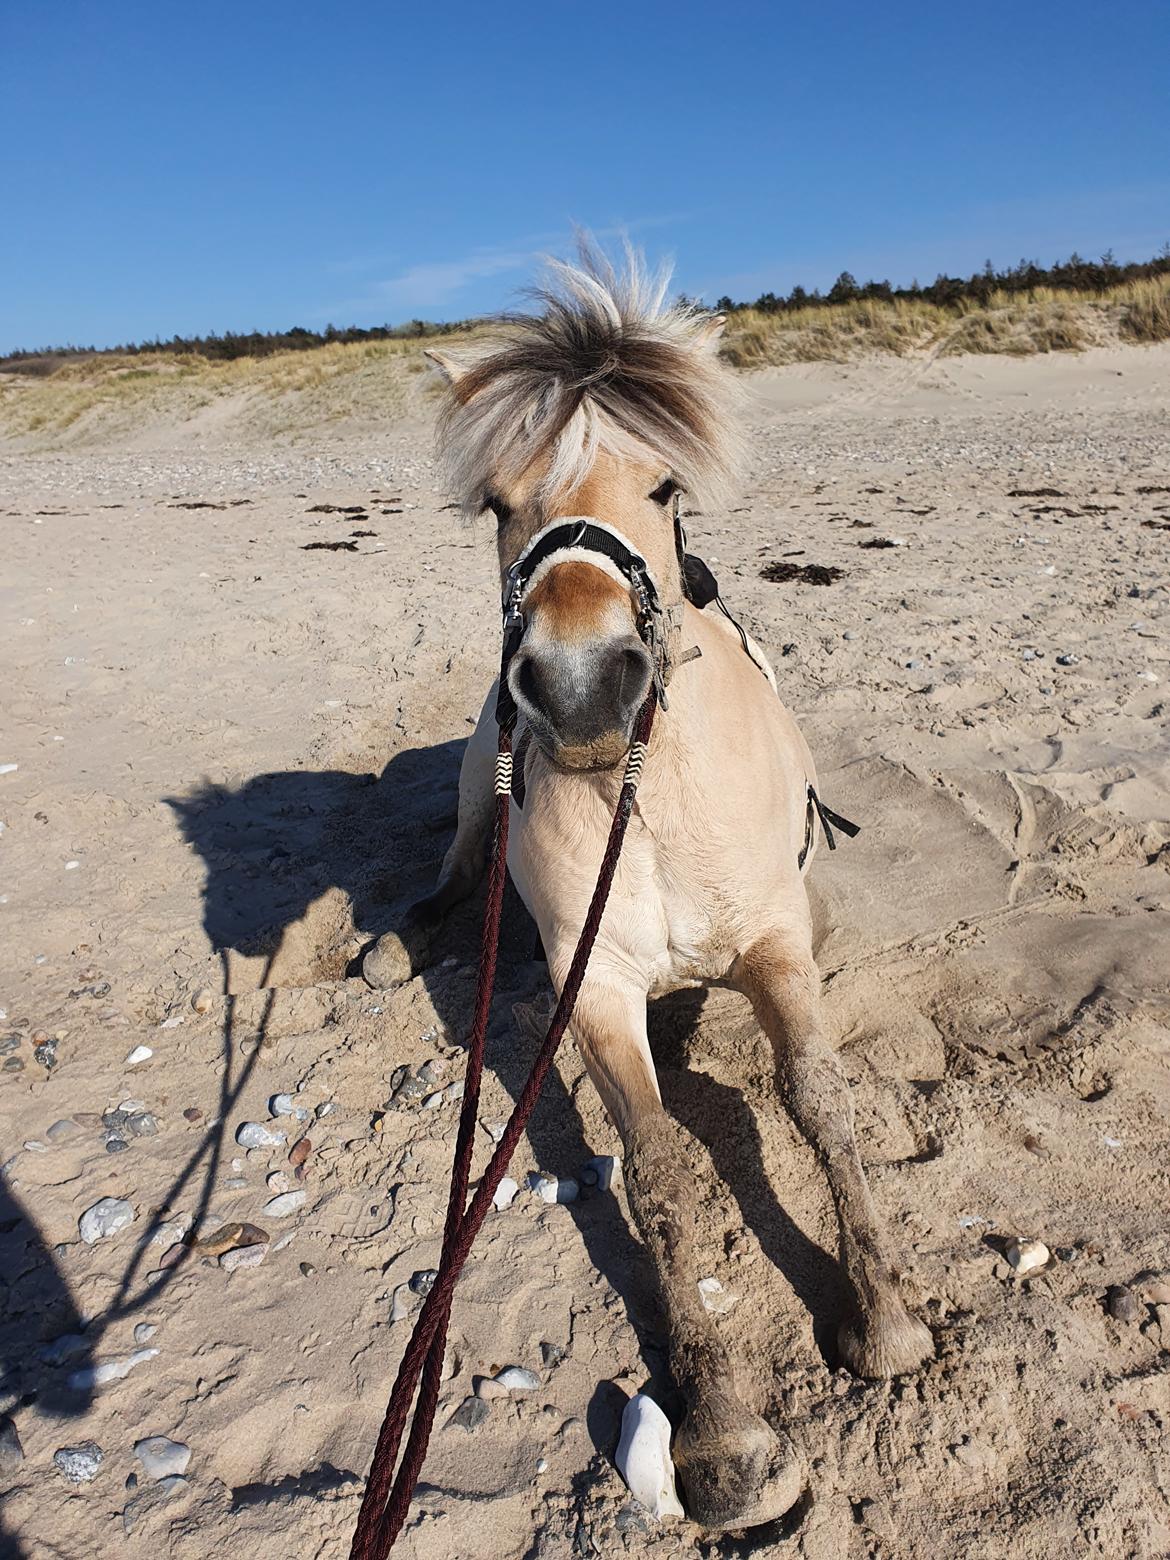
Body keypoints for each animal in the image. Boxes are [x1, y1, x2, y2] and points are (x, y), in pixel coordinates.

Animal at [366, 249, 935, 1528]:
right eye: (495, 504)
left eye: (666, 487)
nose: (581, 691)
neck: (651, 795)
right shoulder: (599, 989)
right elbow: (665, 1170)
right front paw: (724, 1434)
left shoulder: (775, 947)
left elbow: (820, 1103)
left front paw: (884, 1319)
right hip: (478, 775)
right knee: (457, 859)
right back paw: (392, 938)